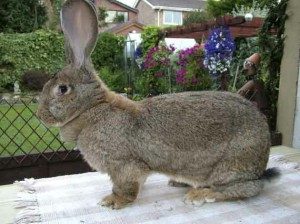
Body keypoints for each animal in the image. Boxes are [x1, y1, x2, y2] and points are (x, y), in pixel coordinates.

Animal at [38, 0, 278, 210]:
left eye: (62, 89)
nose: (41, 115)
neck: (92, 108)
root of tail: (263, 154)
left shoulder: (124, 164)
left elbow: (125, 187)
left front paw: (112, 201)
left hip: (231, 165)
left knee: (245, 188)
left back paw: (199, 195)